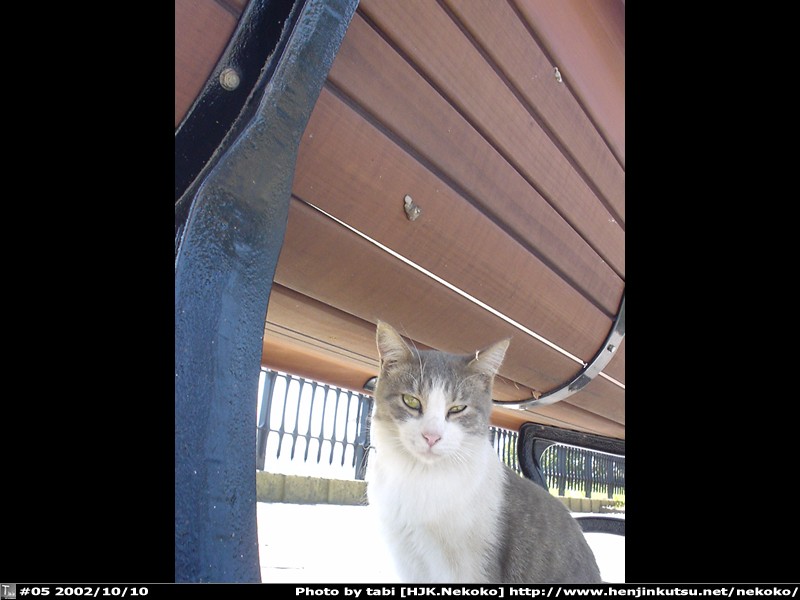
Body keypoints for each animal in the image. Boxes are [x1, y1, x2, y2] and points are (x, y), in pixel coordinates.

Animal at [367, 322, 602, 583]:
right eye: (410, 400)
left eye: (458, 408)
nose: (432, 436)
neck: (420, 477)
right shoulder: (407, 559)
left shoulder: (470, 571)